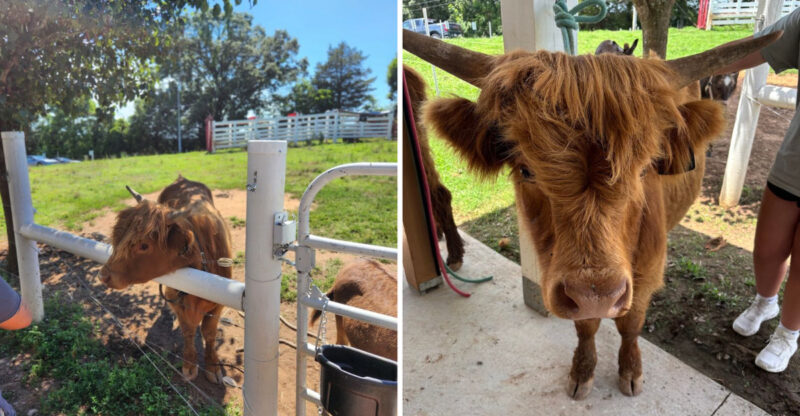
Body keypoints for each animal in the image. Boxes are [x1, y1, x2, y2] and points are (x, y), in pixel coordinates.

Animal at [99, 176, 233, 383]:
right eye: (118, 237)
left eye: (144, 245)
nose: (104, 275)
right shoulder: (178, 303)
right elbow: (188, 330)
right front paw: (189, 364)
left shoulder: (218, 305)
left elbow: (209, 333)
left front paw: (212, 366)